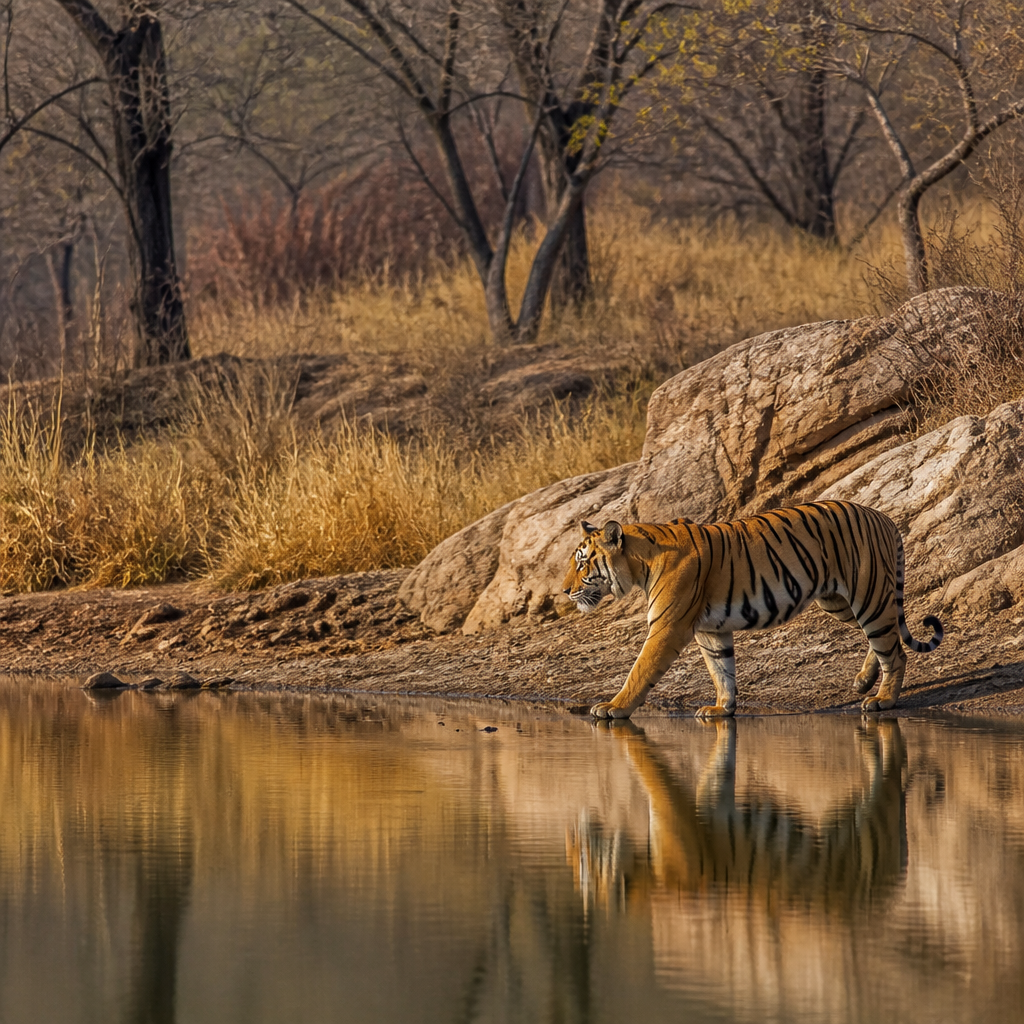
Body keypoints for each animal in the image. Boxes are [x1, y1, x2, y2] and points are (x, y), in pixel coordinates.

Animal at [561, 500, 943, 719]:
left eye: (582, 563)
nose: (565, 591)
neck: (641, 561)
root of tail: (883, 516)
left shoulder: (668, 626)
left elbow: (639, 671)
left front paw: (613, 708)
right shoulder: (710, 630)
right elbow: (722, 671)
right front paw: (721, 709)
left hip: (868, 596)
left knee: (895, 651)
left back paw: (882, 700)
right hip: (840, 602)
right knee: (884, 639)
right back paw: (864, 681)